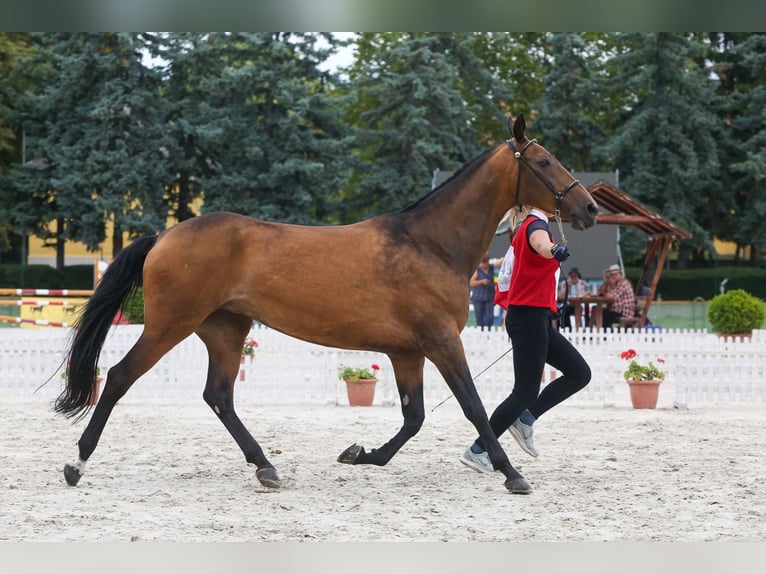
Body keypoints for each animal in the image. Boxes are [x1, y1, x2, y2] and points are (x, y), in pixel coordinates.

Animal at [57, 116, 604, 496]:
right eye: (545, 161)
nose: (591, 208)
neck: (428, 243)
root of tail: (164, 236)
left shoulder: (407, 352)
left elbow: (414, 417)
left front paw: (360, 454)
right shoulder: (442, 342)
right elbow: (471, 406)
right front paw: (512, 474)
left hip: (226, 330)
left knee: (219, 396)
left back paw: (266, 466)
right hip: (170, 324)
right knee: (120, 377)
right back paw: (76, 464)